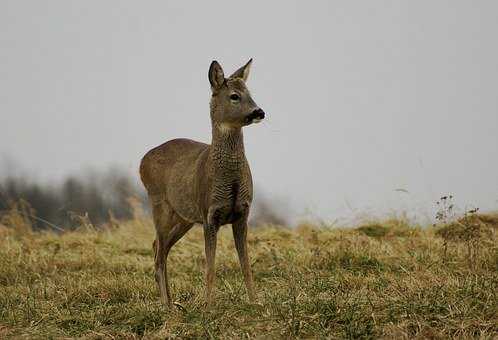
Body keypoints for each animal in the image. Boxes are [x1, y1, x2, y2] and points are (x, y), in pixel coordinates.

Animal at [139, 59, 264, 306]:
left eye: (250, 93)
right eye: (234, 96)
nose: (259, 112)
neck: (229, 179)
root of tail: (142, 161)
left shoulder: (243, 212)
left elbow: (246, 265)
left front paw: (255, 302)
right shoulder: (209, 214)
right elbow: (210, 266)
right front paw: (208, 305)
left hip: (184, 217)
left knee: (159, 246)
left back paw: (172, 302)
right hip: (159, 205)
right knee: (159, 252)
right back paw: (166, 305)